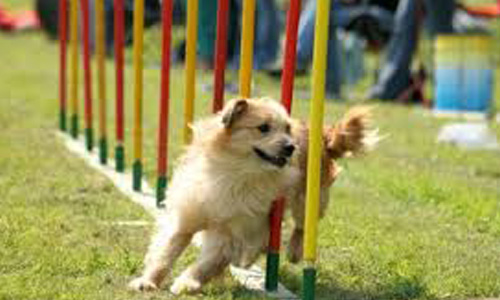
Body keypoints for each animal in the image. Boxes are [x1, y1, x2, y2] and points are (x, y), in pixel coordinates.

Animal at [130, 97, 300, 294]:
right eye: (263, 127)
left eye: (287, 129)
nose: (291, 147)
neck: (236, 174)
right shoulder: (185, 218)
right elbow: (165, 252)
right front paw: (148, 280)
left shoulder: (230, 232)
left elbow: (208, 263)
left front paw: (187, 282)